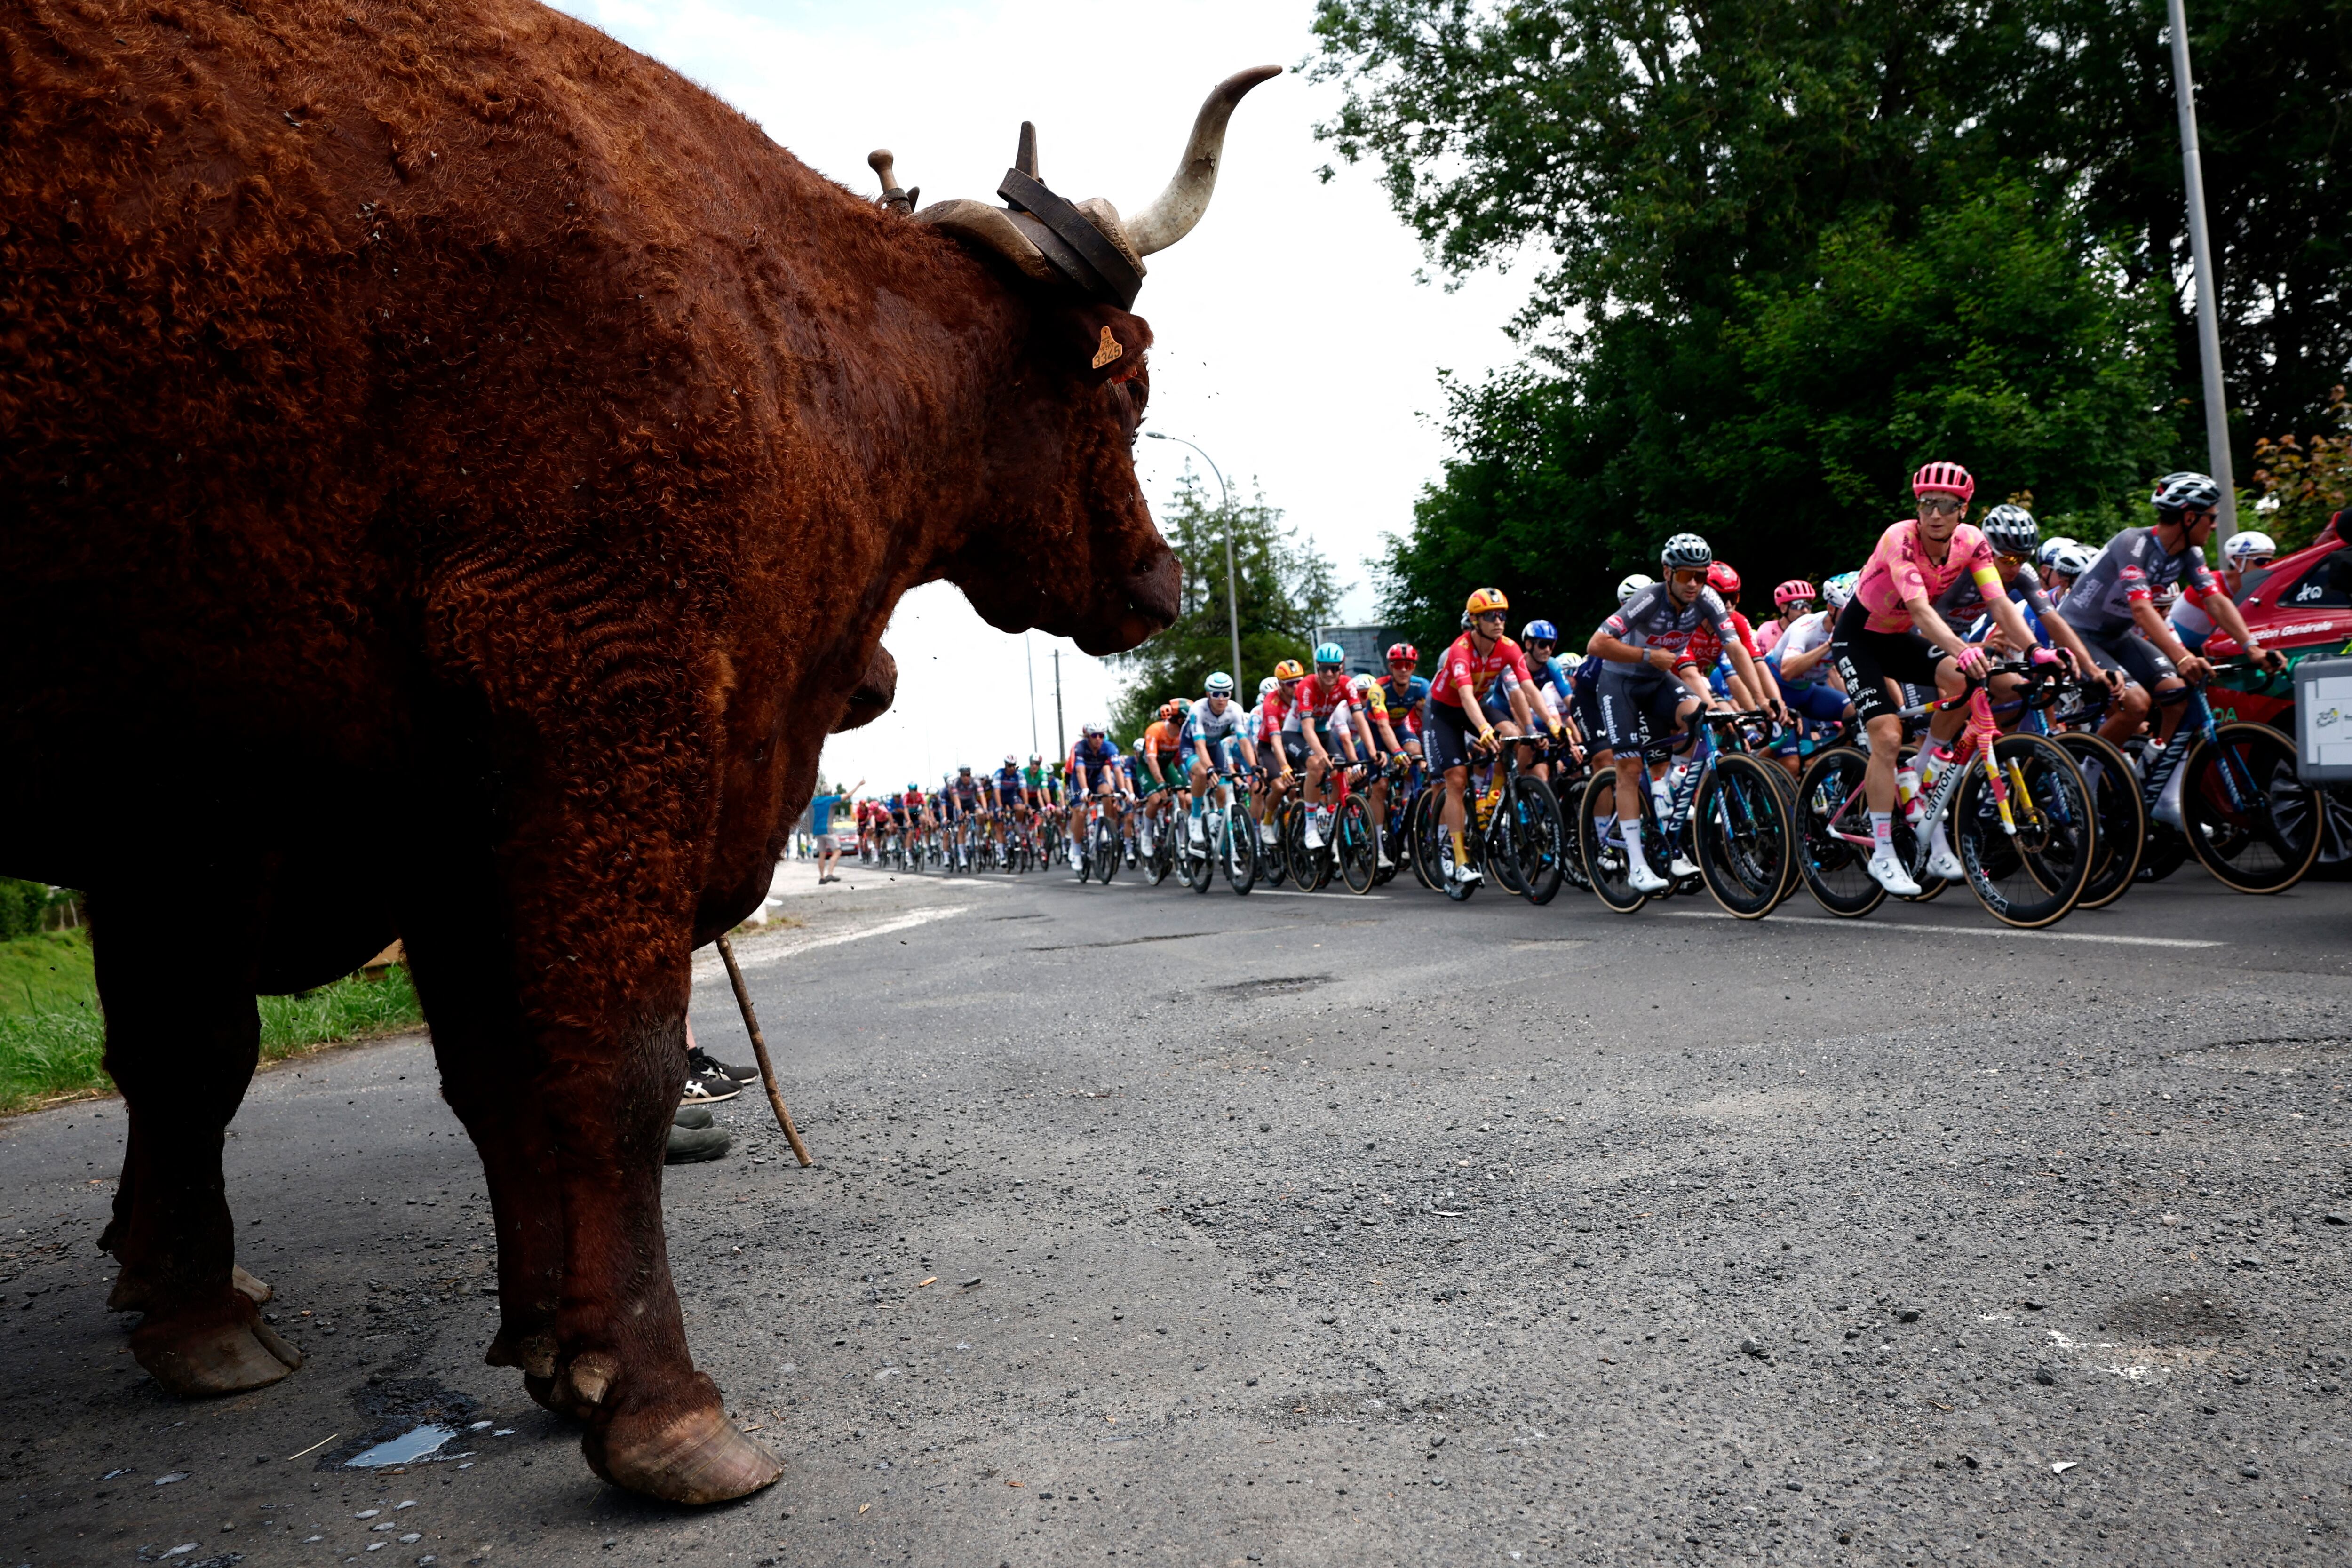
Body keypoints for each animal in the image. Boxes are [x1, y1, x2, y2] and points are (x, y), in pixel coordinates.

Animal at [0, 0, 1279, 1504]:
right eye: (1126, 384)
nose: (1164, 583)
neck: (805, 342)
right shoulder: (586, 686)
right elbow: (606, 1063)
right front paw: (659, 1404)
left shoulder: (426, 802)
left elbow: (483, 1073)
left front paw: (548, 1339)